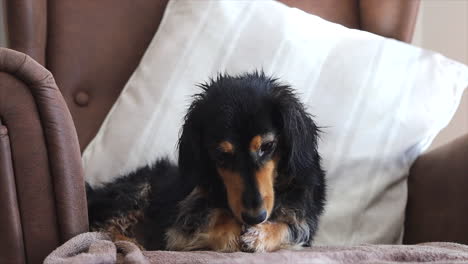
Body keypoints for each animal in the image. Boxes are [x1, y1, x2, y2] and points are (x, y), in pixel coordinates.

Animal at [88, 71, 330, 252]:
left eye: (267, 146)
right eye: (221, 154)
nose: (256, 217)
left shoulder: (305, 219)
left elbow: (291, 228)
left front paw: (260, 236)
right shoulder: (182, 219)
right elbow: (213, 219)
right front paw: (232, 233)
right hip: (138, 189)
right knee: (104, 227)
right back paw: (132, 243)